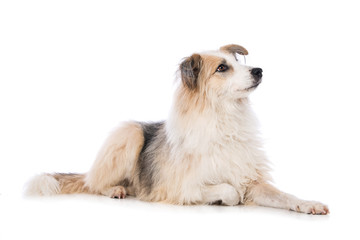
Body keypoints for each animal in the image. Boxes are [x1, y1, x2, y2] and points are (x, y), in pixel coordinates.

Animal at [25, 44, 330, 215]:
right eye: (222, 68)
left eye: (237, 63)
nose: (259, 71)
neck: (225, 118)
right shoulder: (177, 186)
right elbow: (229, 190)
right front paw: (223, 200)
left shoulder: (251, 180)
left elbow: (283, 195)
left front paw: (308, 203)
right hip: (130, 134)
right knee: (94, 184)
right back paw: (115, 189)